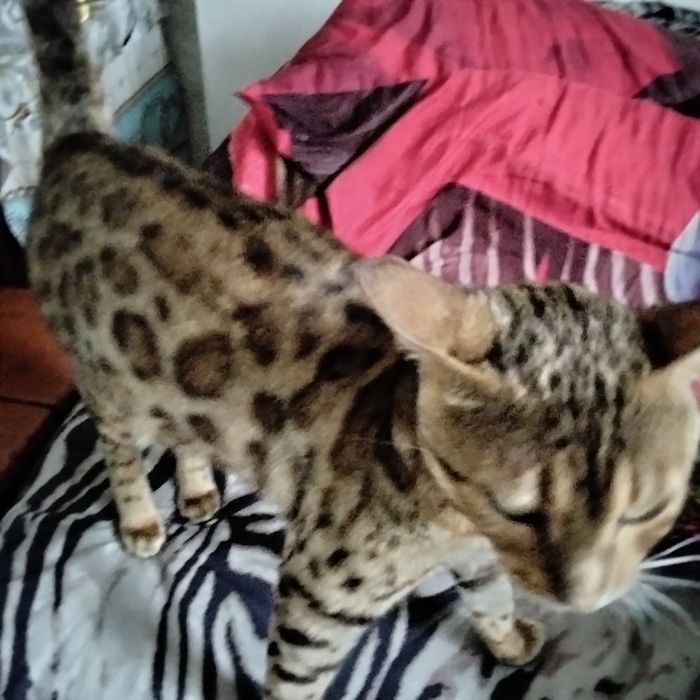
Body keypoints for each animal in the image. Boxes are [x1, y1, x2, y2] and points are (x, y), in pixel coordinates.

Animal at [20, 0, 700, 698]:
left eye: (649, 510)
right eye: (519, 508)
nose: (583, 600)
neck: (452, 516)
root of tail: (82, 144)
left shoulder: (478, 559)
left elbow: (492, 600)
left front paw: (508, 640)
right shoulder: (318, 597)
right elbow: (296, 680)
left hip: (165, 380)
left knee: (185, 426)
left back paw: (196, 483)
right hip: (107, 379)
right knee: (119, 448)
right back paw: (140, 518)